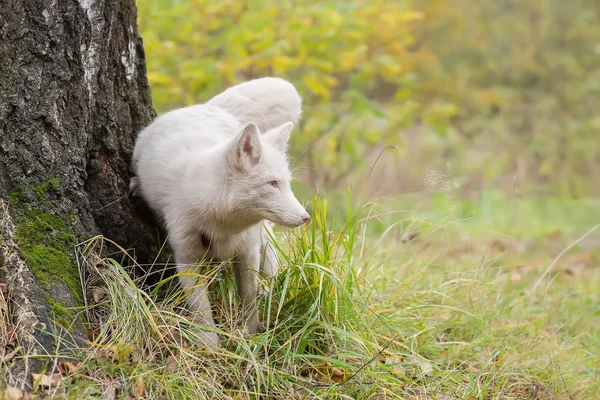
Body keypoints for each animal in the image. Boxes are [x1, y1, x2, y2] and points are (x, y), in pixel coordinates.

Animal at [131, 76, 310, 346]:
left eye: (287, 183)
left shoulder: (247, 253)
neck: (222, 220)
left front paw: (249, 337)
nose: (306, 217)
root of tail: (206, 107)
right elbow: (203, 314)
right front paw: (211, 348)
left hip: (264, 235)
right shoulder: (187, 258)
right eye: (272, 184)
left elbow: (249, 302)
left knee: (270, 262)